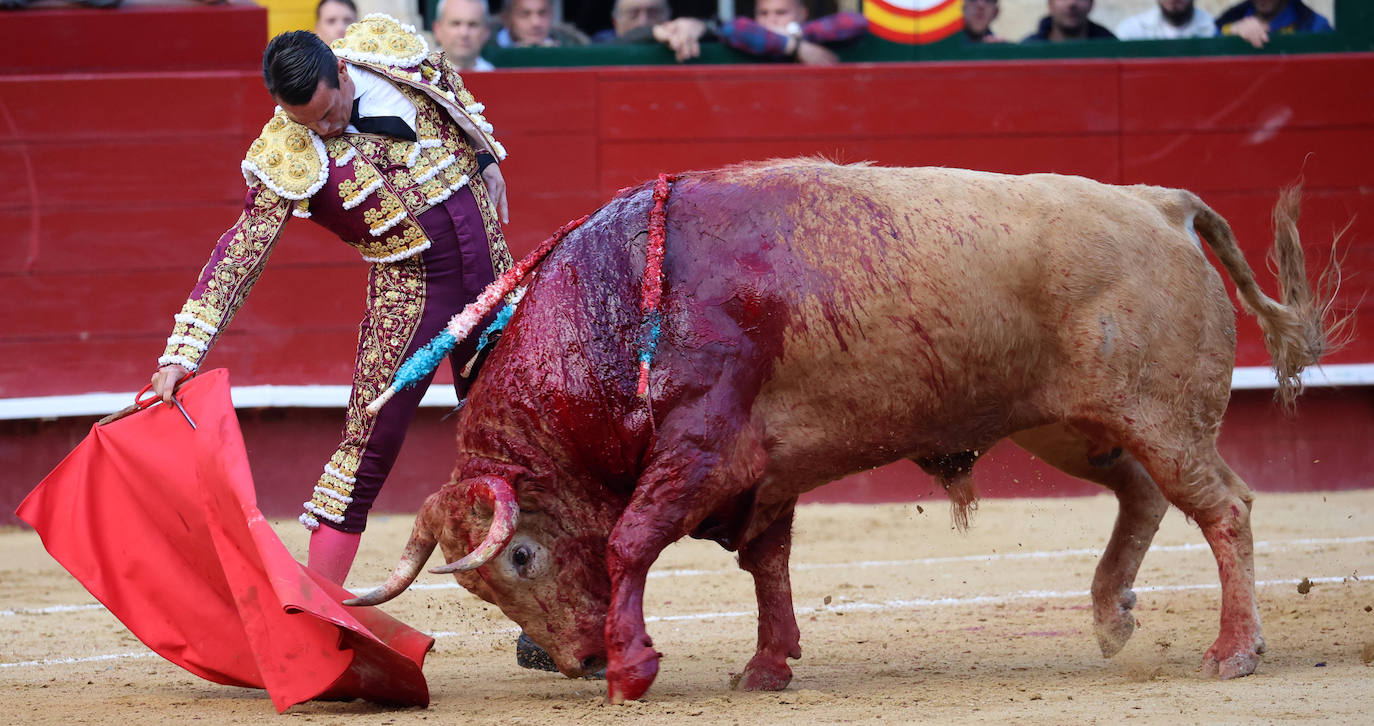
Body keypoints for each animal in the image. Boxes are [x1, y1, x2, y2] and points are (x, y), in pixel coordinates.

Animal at [348, 160, 1335, 704]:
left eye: (520, 558)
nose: (581, 659)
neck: (620, 307)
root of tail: (1159, 203)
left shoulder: (700, 452)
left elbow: (631, 542)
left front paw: (637, 671)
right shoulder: (764, 473)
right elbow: (768, 564)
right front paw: (768, 667)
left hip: (1160, 416)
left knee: (1225, 510)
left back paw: (1231, 652)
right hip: (1069, 425)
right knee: (1140, 493)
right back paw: (1109, 613)